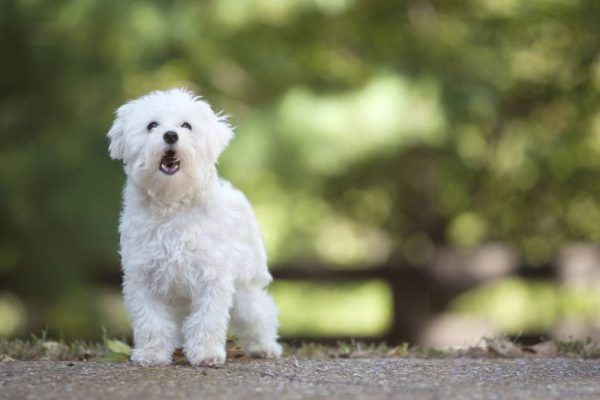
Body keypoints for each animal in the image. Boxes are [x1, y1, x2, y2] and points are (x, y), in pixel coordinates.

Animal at [107, 87, 282, 366]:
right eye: (151, 125)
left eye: (186, 125)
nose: (170, 134)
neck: (172, 203)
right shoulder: (143, 277)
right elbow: (151, 321)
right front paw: (151, 354)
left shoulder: (211, 277)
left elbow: (206, 321)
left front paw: (207, 354)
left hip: (245, 286)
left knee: (258, 313)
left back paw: (265, 347)